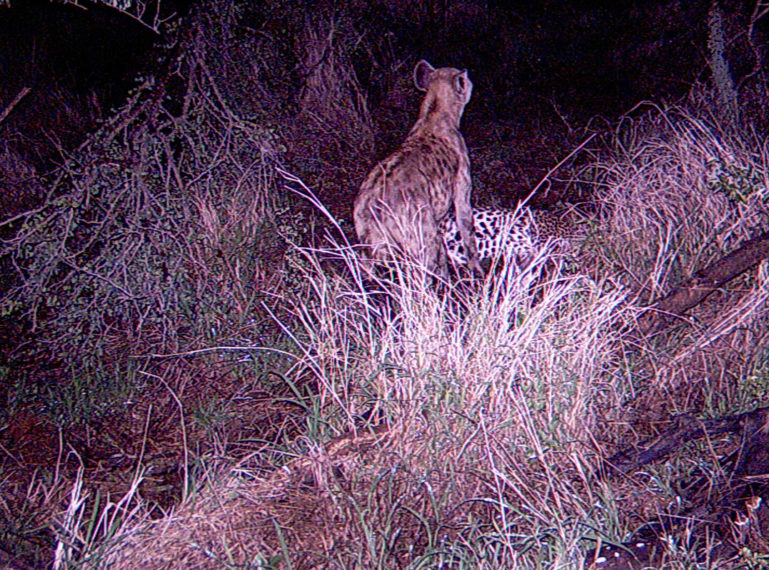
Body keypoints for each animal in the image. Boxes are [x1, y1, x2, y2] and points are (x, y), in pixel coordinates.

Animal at [354, 60, 480, 278]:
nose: (472, 80)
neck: (435, 113)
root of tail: (371, 204)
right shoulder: (462, 189)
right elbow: (467, 232)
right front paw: (478, 272)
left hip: (367, 247)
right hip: (422, 238)